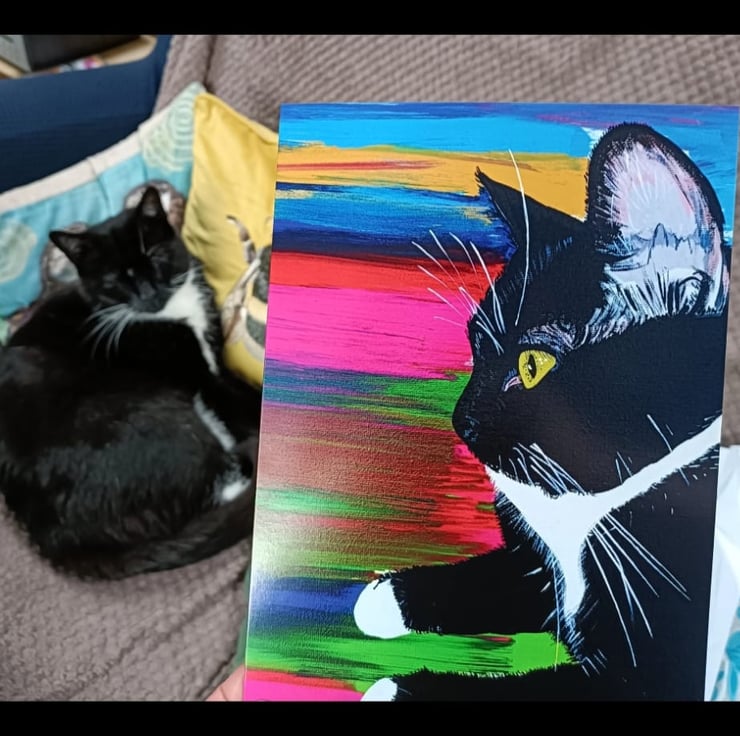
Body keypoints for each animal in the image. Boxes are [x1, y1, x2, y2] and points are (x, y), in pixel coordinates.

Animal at [0, 186, 262, 579]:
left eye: (154, 256)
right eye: (113, 281)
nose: (148, 294)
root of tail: (53, 536)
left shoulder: (215, 361)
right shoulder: (203, 379)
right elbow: (241, 403)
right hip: (148, 415)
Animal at [352, 123, 731, 700]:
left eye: (533, 365)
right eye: (475, 346)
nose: (461, 418)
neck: (575, 520)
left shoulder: (649, 676)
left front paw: (391, 688)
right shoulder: (538, 571)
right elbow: (488, 581)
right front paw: (381, 598)